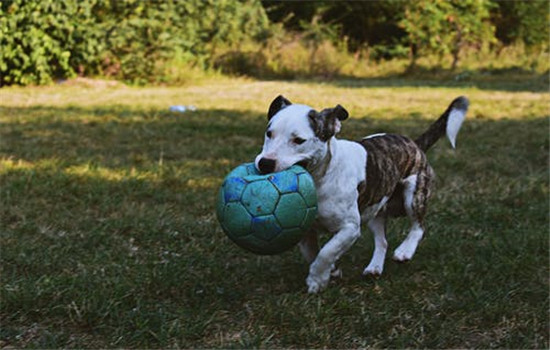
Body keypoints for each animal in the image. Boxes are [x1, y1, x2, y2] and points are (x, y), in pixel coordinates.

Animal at [256, 93, 470, 292]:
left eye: (299, 140)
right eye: (269, 133)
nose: (265, 163)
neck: (320, 178)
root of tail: (414, 144)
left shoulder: (350, 228)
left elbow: (326, 252)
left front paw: (317, 280)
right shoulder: (304, 229)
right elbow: (313, 254)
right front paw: (331, 271)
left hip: (414, 194)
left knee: (419, 226)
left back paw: (405, 251)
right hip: (375, 209)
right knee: (382, 241)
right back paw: (374, 267)